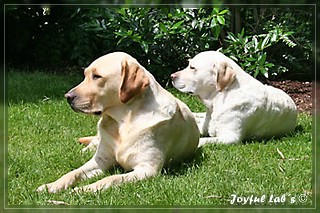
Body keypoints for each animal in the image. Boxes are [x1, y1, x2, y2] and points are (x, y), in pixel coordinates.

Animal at [36, 52, 199, 193]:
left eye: (97, 76)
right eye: (85, 75)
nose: (68, 97)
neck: (123, 122)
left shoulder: (147, 169)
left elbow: (110, 179)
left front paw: (83, 189)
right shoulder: (100, 161)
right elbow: (73, 172)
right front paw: (52, 185)